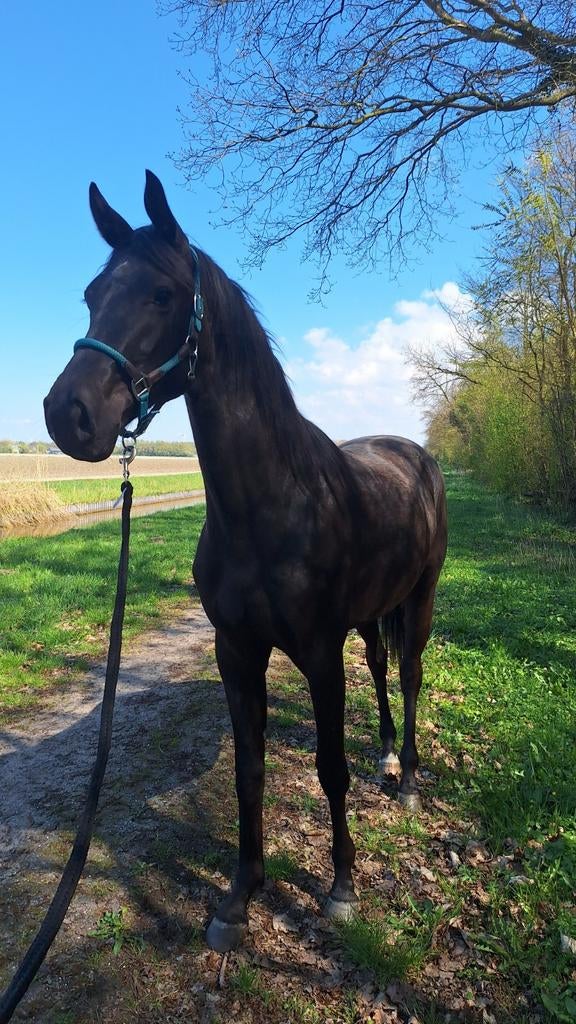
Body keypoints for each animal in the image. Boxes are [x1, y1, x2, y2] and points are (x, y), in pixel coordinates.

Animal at [44, 171, 447, 953]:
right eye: (90, 292)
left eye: (160, 294)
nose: (66, 414)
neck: (272, 506)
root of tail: (413, 453)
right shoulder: (237, 650)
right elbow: (248, 770)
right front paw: (240, 896)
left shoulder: (318, 653)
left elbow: (328, 768)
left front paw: (341, 887)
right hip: (370, 615)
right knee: (382, 672)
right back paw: (387, 754)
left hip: (419, 600)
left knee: (410, 676)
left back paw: (409, 780)